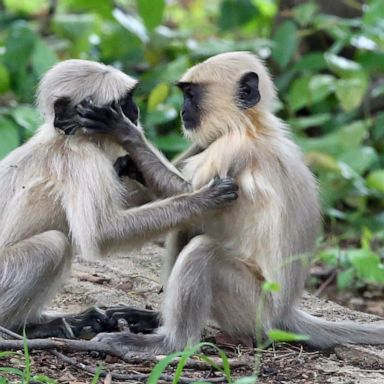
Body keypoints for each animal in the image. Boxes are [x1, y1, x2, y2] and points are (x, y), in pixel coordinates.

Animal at [0, 58, 240, 338]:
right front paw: (204, 198)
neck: (68, 137)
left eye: (130, 99)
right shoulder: (82, 158)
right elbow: (100, 233)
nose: (135, 110)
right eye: (122, 102)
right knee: (53, 244)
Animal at [76, 51, 384, 354]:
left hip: (253, 309)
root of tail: (284, 313)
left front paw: (126, 133)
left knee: (202, 250)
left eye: (191, 95)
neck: (252, 125)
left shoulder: (233, 147)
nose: (183, 111)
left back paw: (168, 343)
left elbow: (192, 193)